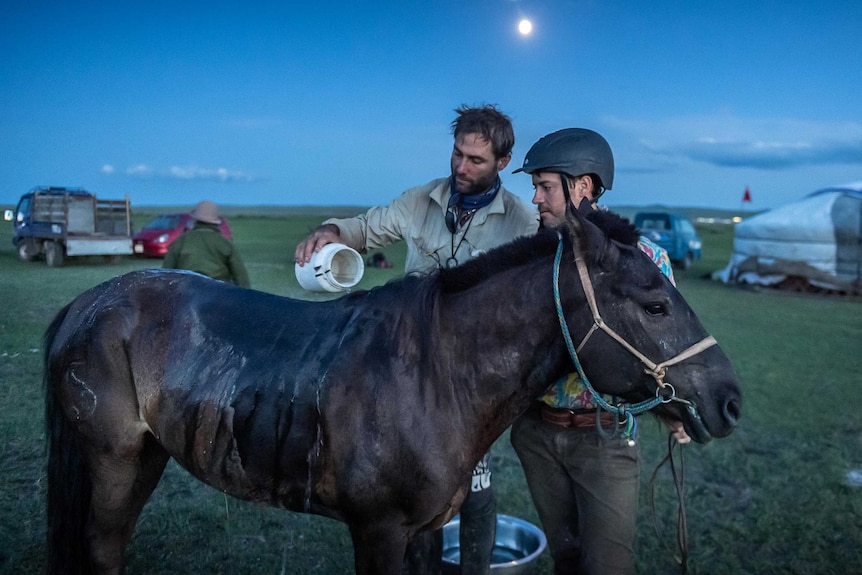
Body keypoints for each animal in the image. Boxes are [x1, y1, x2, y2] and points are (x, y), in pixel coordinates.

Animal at [42, 209, 744, 572]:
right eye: (655, 304)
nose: (729, 401)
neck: (436, 375)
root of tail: (90, 303)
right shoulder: (376, 532)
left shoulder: (425, 530)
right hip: (113, 460)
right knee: (101, 546)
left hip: (145, 457)